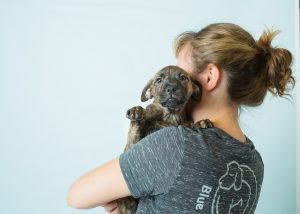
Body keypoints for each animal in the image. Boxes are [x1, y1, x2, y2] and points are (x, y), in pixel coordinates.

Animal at [117, 65, 213, 214]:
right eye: (158, 80)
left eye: (183, 77)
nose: (171, 88)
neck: (170, 116)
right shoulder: (131, 148)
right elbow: (136, 128)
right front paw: (137, 112)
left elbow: (191, 124)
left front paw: (201, 122)